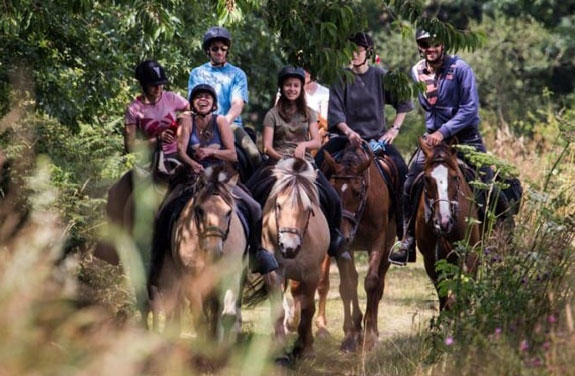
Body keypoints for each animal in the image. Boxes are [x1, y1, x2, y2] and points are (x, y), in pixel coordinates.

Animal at [148, 164, 245, 340]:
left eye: (228, 212)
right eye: (199, 210)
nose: (214, 251)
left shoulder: (231, 274)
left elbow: (227, 316)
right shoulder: (192, 281)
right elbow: (199, 320)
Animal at [252, 158, 328, 358]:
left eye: (308, 209)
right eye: (278, 205)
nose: (289, 247)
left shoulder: (311, 274)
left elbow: (308, 309)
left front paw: (307, 348)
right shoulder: (274, 273)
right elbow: (278, 309)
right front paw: (280, 350)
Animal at [322, 144, 398, 352]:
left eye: (357, 192)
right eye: (333, 191)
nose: (341, 236)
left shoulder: (378, 241)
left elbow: (371, 282)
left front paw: (370, 335)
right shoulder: (345, 247)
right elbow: (348, 285)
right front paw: (351, 334)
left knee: (379, 285)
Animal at [416, 137, 484, 308]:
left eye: (455, 177)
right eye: (427, 179)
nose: (443, 222)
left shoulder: (471, 255)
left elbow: (463, 294)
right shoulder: (431, 261)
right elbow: (444, 297)